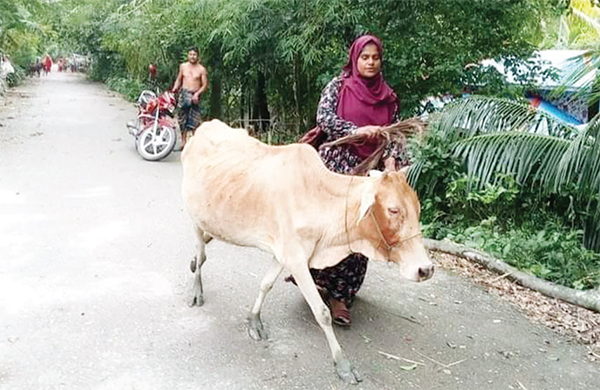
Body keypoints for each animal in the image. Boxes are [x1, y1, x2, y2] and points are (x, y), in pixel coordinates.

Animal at [180, 119, 434, 384]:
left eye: (417, 208)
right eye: (394, 210)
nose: (425, 269)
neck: (320, 202)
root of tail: (205, 127)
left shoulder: (283, 254)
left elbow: (265, 284)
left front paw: (254, 321)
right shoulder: (297, 260)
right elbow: (321, 312)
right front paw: (343, 365)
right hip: (196, 217)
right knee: (201, 253)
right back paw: (196, 289)